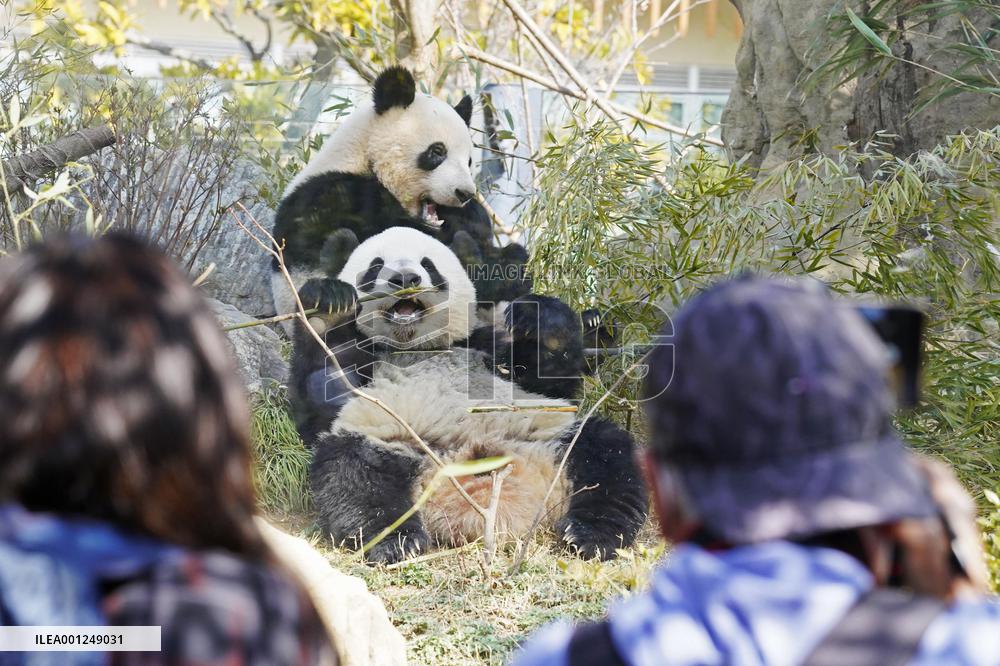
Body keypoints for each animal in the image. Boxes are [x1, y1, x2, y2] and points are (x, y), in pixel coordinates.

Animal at [291, 226, 647, 564]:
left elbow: (550, 382)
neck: (416, 345)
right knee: (355, 475)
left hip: (552, 437)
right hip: (387, 440)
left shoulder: (484, 345)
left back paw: (593, 535)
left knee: (606, 455)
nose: (404, 279)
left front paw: (544, 322)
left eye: (428, 265)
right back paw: (395, 542)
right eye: (376, 265)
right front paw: (328, 306)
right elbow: (319, 394)